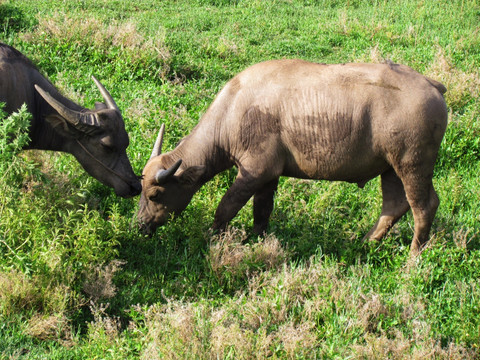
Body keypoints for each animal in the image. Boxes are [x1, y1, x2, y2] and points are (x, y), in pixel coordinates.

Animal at [137, 59, 448, 256]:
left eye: (155, 195)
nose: (141, 225)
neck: (234, 110)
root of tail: (431, 85)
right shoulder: (268, 177)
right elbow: (261, 212)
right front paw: (257, 239)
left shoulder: (253, 173)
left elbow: (225, 208)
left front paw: (213, 237)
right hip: (391, 168)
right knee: (394, 206)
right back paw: (367, 242)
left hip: (412, 165)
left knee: (424, 207)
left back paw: (413, 255)